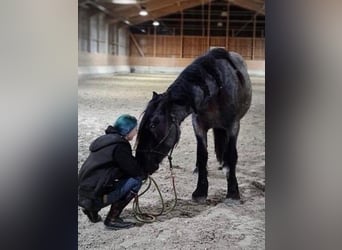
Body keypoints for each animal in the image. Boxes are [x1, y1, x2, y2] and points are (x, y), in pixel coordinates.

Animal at [136, 47, 251, 202]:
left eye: (154, 124)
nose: (140, 164)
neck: (217, 90)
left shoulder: (233, 126)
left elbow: (231, 154)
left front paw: (233, 191)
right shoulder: (199, 126)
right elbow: (202, 155)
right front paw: (200, 191)